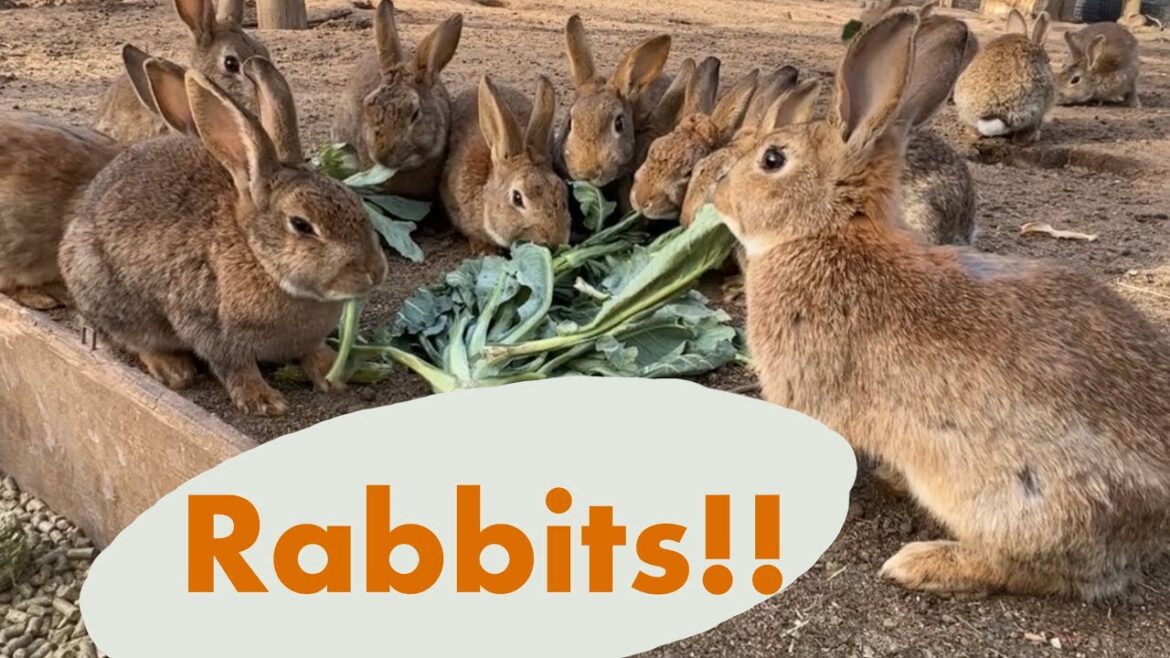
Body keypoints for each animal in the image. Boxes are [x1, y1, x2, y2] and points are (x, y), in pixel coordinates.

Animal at [60, 57, 387, 416]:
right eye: (302, 225)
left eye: (355, 199)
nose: (375, 272)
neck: (257, 255)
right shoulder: (209, 328)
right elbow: (235, 367)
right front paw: (264, 400)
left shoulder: (305, 338)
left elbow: (312, 352)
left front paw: (332, 374)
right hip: (109, 297)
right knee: (131, 339)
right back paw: (174, 370)